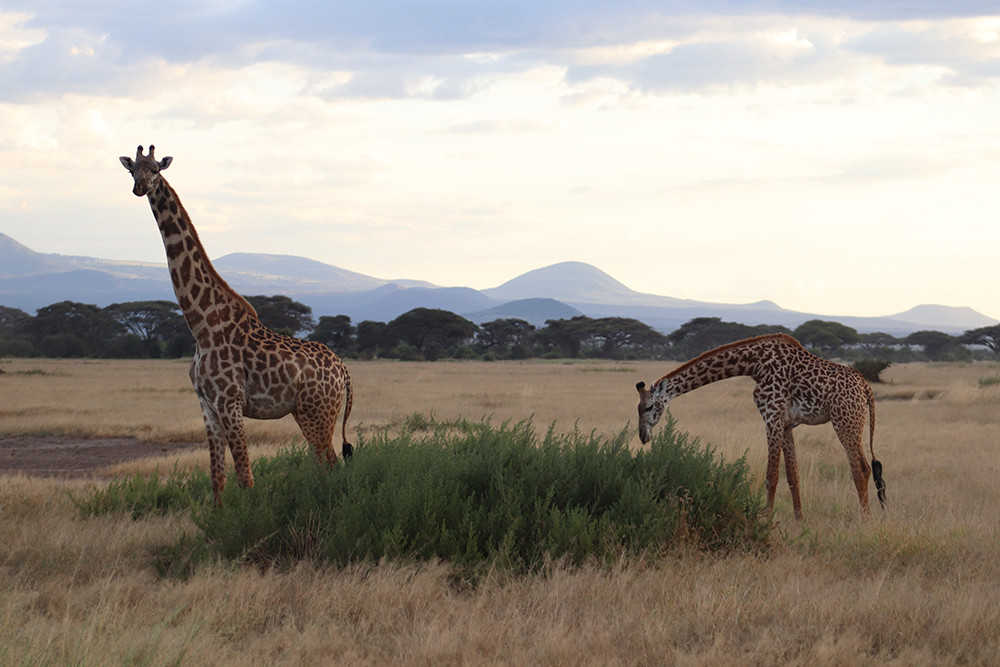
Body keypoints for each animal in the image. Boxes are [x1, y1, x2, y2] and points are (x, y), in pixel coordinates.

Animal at [120, 145, 354, 506]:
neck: (201, 325)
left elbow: (246, 476)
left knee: (328, 461)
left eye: (156, 169)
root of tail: (343, 370)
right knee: (325, 462)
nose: (140, 188)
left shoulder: (229, 403)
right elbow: (217, 477)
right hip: (305, 411)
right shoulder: (207, 405)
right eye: (133, 170)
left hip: (318, 411)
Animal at [635, 333, 885, 519]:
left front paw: (765, 521)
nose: (643, 436)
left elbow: (771, 476)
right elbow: (792, 476)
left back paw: (865, 520)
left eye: (648, 407)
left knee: (861, 469)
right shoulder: (786, 423)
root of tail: (865, 387)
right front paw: (798, 521)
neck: (753, 364)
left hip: (846, 421)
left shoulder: (771, 416)